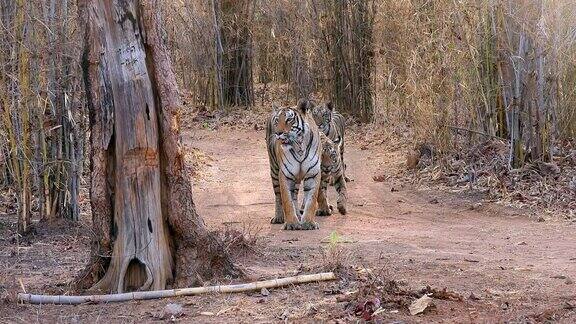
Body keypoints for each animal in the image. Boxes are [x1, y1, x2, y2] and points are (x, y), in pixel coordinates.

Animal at [266, 98, 322, 230]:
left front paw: (308, 223)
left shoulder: (313, 173)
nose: (278, 133)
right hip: (274, 170)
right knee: (278, 196)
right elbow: (287, 199)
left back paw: (298, 214)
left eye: (288, 120)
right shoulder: (285, 174)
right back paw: (279, 217)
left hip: (296, 178)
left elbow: (311, 200)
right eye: (277, 120)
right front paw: (291, 223)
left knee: (295, 195)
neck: (299, 146)